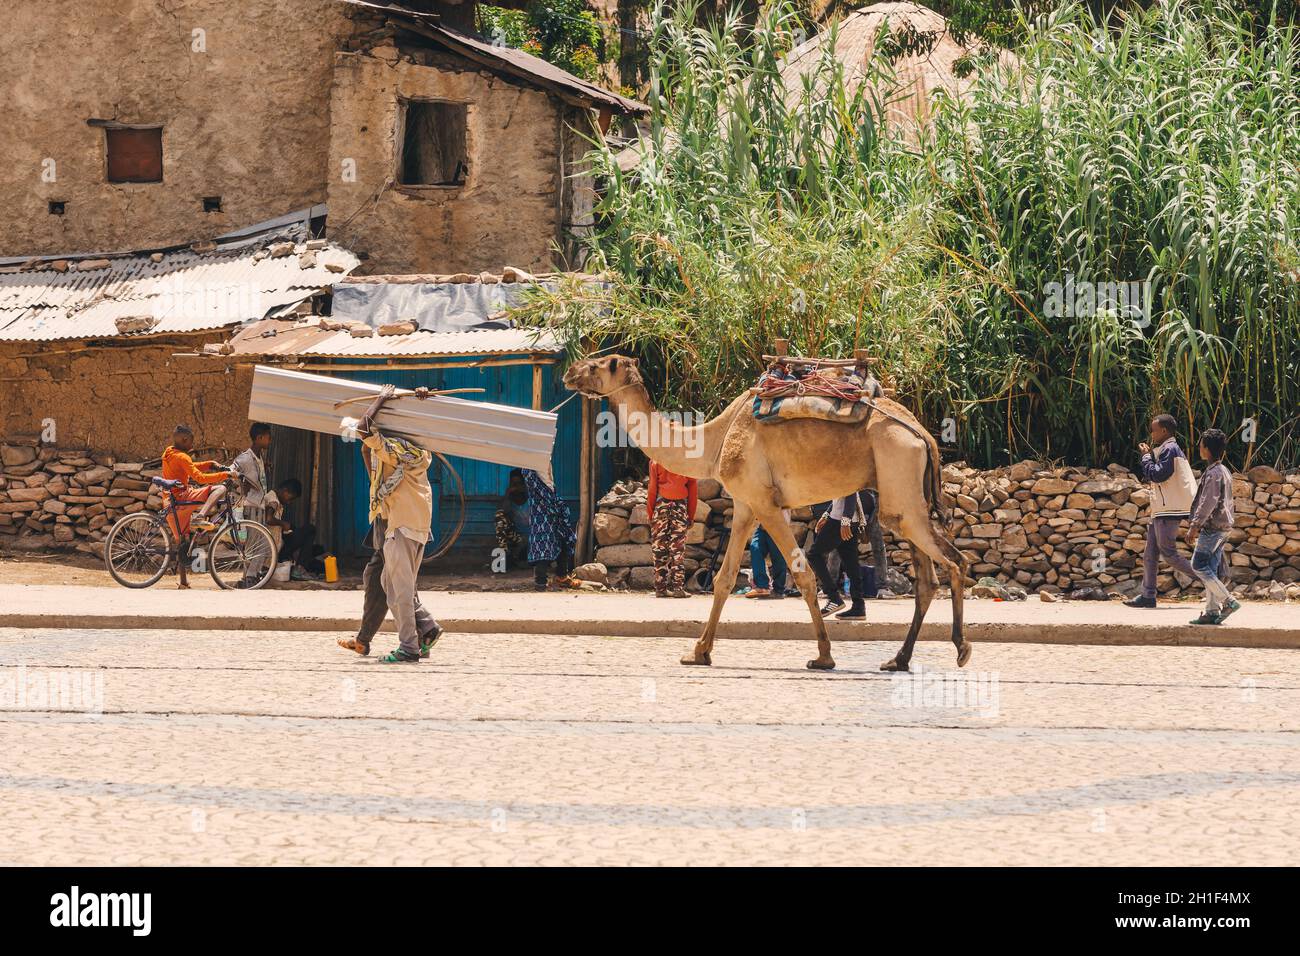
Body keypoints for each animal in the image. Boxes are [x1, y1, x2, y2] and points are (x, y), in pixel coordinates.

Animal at [564, 355, 971, 672]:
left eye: (599, 364)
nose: (569, 371)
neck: (716, 440)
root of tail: (922, 434)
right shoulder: (745, 505)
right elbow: (725, 578)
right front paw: (699, 652)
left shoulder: (766, 503)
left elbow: (802, 574)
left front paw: (823, 656)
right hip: (906, 498)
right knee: (926, 580)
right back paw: (898, 660)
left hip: (898, 478)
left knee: (955, 561)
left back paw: (961, 648)